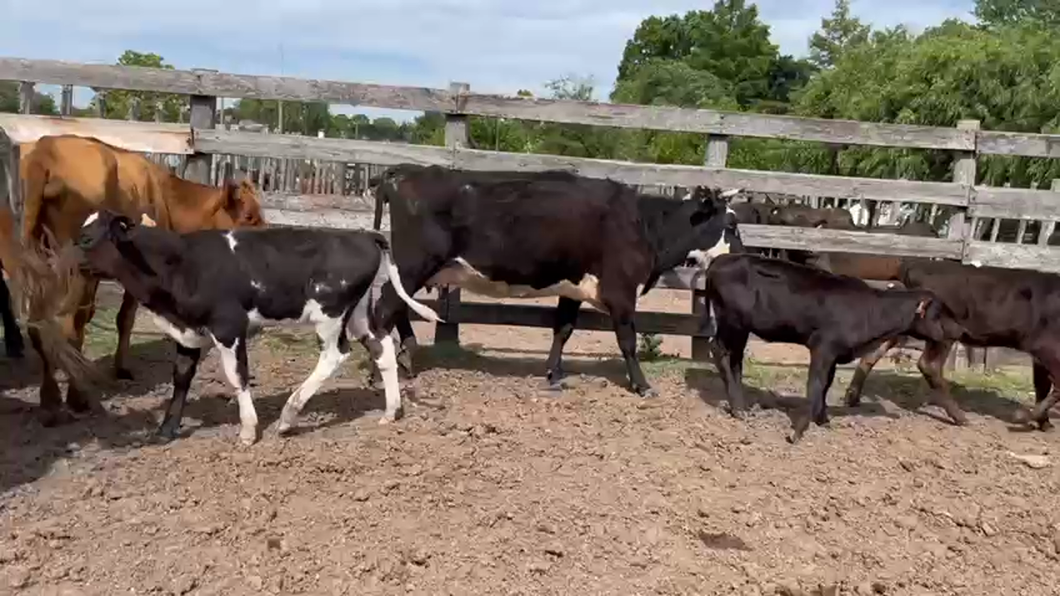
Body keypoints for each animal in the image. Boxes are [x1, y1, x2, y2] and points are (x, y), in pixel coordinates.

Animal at [12, 133, 267, 422]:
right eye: (248, 216)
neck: (165, 196)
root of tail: (46, 148)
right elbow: (124, 318)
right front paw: (120, 368)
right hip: (72, 272)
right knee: (65, 328)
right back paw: (76, 398)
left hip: (40, 264)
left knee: (40, 326)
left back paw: (50, 400)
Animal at [74, 208, 438, 441]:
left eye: (87, 238)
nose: (64, 257)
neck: (182, 263)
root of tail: (364, 236)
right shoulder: (188, 334)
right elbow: (181, 378)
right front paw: (165, 431)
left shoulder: (228, 327)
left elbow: (237, 376)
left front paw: (249, 430)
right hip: (359, 313)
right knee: (382, 346)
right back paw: (391, 410)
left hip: (330, 316)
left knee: (334, 356)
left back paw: (289, 416)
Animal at [373, 164, 746, 396]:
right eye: (731, 223)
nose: (742, 255)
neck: (644, 223)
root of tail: (403, 172)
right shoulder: (621, 293)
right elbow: (627, 340)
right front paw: (642, 385)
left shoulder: (573, 288)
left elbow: (563, 328)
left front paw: (553, 372)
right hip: (414, 264)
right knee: (384, 307)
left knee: (395, 306)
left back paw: (405, 355)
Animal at [699, 250, 966, 441]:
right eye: (939, 312)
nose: (960, 330)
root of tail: (720, 259)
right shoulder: (823, 348)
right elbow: (815, 384)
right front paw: (798, 431)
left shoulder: (836, 355)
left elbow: (826, 385)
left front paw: (824, 420)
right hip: (731, 322)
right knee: (720, 351)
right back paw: (737, 408)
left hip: (741, 328)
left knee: (735, 358)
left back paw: (741, 405)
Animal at [843, 257, 1060, 428]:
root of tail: (912, 265)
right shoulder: (1045, 347)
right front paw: (1023, 416)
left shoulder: (1040, 355)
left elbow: (1042, 385)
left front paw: (1044, 422)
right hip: (943, 332)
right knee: (929, 365)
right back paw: (960, 417)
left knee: (873, 353)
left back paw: (851, 398)